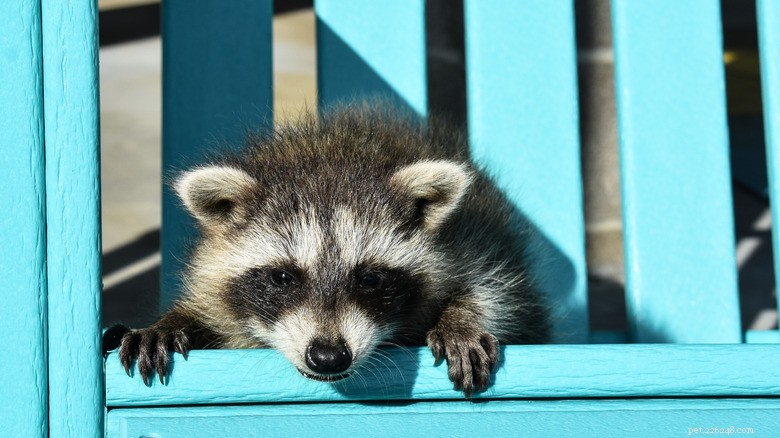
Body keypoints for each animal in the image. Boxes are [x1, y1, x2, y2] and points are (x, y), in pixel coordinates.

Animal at [116, 104, 549, 397]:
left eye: (370, 278)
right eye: (283, 277)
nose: (328, 357)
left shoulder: (473, 238)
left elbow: (501, 290)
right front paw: (173, 321)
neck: (333, 149)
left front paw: (461, 316)